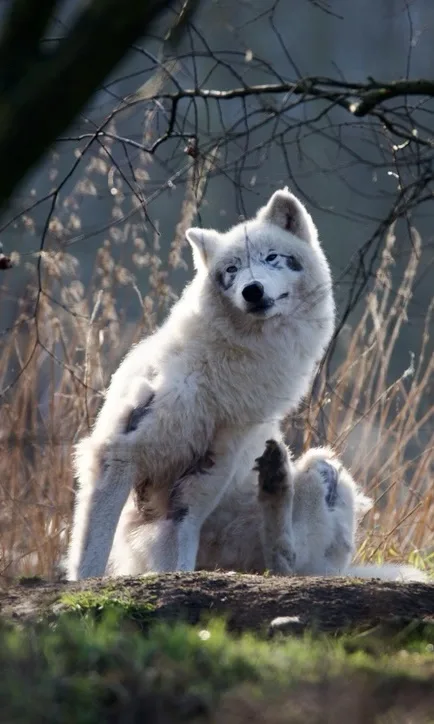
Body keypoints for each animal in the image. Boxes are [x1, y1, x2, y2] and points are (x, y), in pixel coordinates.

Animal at [67, 188, 335, 580]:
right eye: (231, 270)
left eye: (272, 257)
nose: (252, 290)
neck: (220, 377)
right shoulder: (119, 454)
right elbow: (93, 550)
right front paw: (85, 583)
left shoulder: (200, 482)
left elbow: (179, 552)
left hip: (322, 467)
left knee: (293, 565)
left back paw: (276, 478)